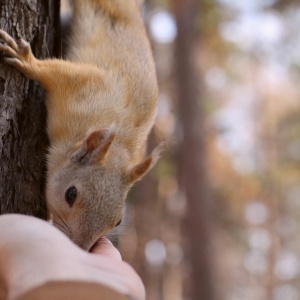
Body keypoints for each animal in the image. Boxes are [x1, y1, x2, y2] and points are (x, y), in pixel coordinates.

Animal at [0, 0, 162, 251]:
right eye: (71, 194)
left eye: (118, 220)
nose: (80, 248)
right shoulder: (85, 86)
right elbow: (56, 72)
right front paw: (27, 60)